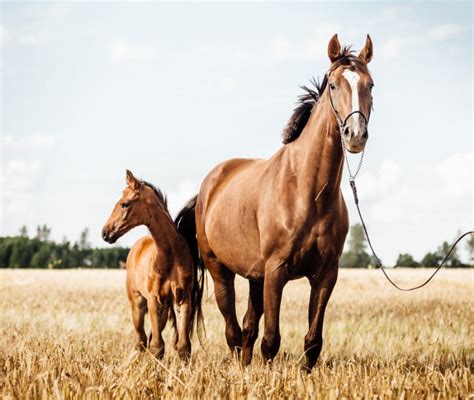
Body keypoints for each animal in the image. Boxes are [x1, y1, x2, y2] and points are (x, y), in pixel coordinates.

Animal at [102, 169, 204, 360]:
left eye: (125, 204)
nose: (105, 233)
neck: (170, 256)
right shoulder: (153, 300)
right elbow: (157, 347)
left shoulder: (182, 299)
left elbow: (183, 346)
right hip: (137, 303)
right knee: (141, 340)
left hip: (163, 309)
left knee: (147, 339)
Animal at [180, 33, 376, 368]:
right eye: (333, 85)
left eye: (371, 85)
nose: (355, 135)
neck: (307, 193)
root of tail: (209, 184)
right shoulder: (276, 271)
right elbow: (271, 340)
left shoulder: (326, 275)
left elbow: (312, 341)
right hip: (221, 271)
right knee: (233, 330)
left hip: (255, 276)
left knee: (247, 326)